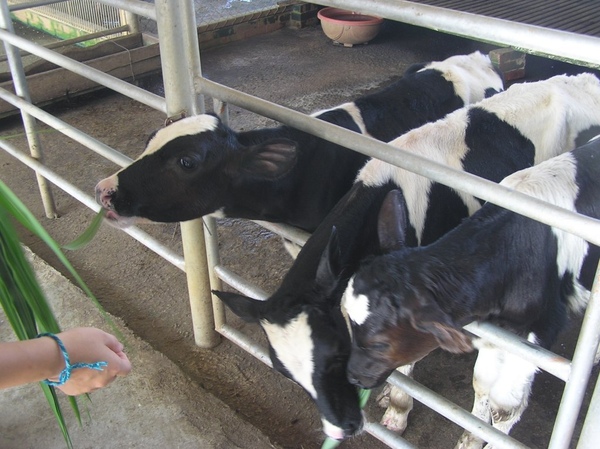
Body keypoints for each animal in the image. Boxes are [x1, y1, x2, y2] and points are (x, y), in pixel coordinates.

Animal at [342, 138, 600, 446]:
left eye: (380, 343)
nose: (352, 377)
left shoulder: (542, 328)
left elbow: (506, 407)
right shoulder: (496, 327)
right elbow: (483, 384)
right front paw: (472, 438)